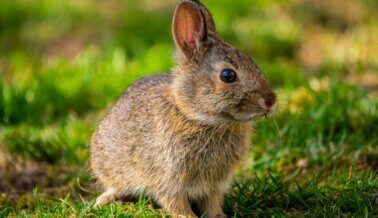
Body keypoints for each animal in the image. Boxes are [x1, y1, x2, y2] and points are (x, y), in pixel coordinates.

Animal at [89, 0, 276, 217]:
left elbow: (212, 202)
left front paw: (219, 215)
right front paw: (186, 215)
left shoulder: (214, 185)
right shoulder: (168, 179)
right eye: (227, 75)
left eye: (252, 61)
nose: (271, 101)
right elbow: (175, 202)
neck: (196, 116)